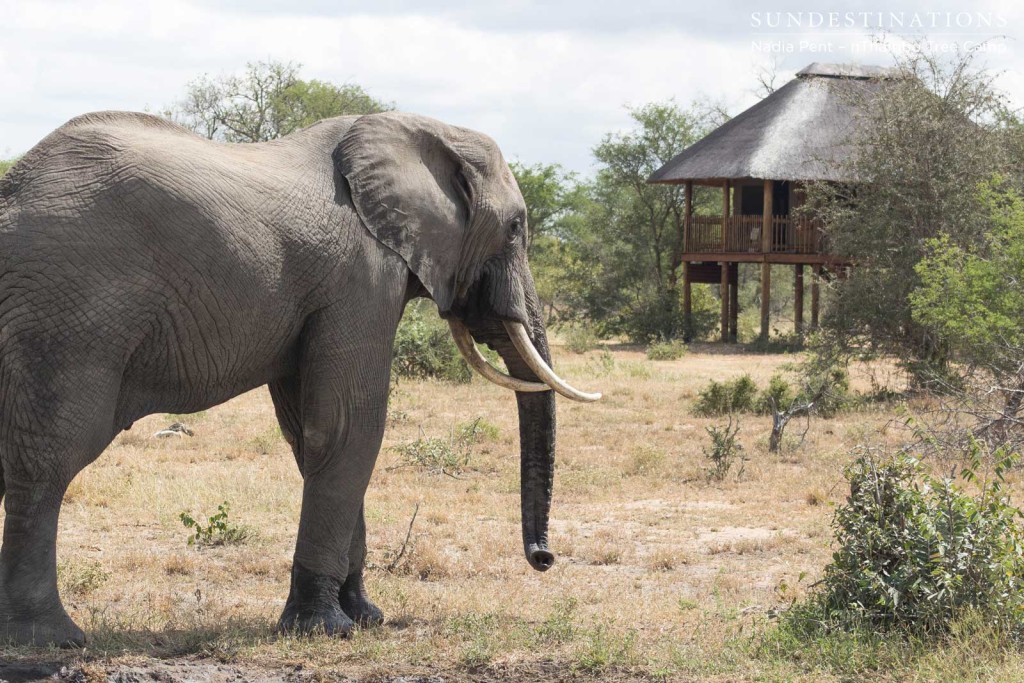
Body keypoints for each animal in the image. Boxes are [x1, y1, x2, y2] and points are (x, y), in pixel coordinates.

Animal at [0, 111, 598, 647]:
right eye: (516, 228)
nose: (544, 558)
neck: (418, 129)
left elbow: (308, 436)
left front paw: (365, 617)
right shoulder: (361, 279)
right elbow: (349, 428)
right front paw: (326, 629)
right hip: (67, 313)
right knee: (49, 461)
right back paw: (52, 641)